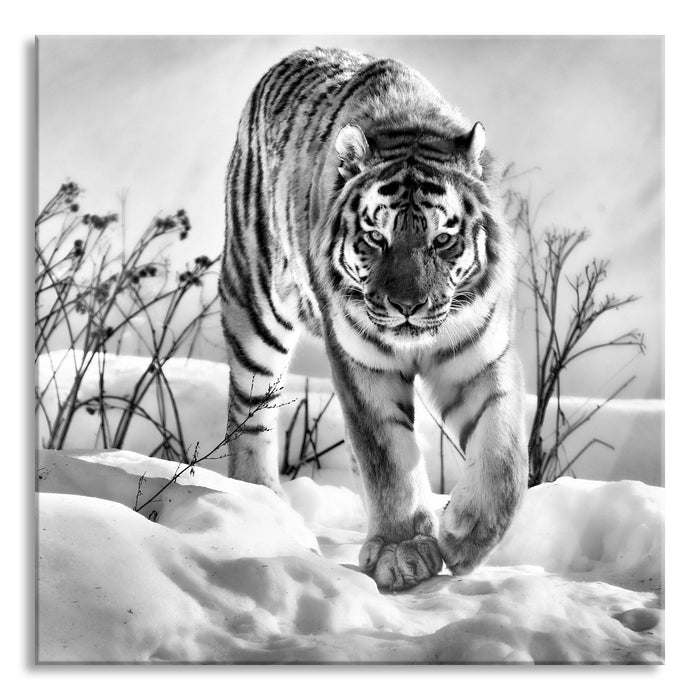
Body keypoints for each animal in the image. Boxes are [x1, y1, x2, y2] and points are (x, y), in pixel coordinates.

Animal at [219, 47, 528, 592]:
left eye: (442, 240)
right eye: (375, 239)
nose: (407, 306)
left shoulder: (480, 355)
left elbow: (505, 454)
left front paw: (464, 535)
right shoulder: (362, 363)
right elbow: (387, 455)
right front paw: (402, 551)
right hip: (256, 309)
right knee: (250, 413)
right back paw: (262, 506)